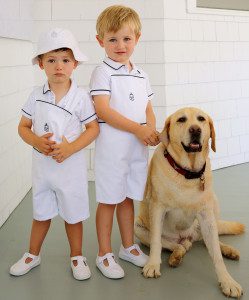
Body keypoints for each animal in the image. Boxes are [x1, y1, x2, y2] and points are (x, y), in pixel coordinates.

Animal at [135, 107, 244, 298]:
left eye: (201, 119)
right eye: (181, 120)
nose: (195, 130)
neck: (187, 172)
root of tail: (188, 236)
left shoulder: (206, 215)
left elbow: (215, 254)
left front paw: (227, 281)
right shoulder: (157, 208)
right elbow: (156, 242)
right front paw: (153, 265)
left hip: (212, 207)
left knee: (211, 241)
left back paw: (228, 250)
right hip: (139, 229)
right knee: (178, 245)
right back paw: (177, 255)